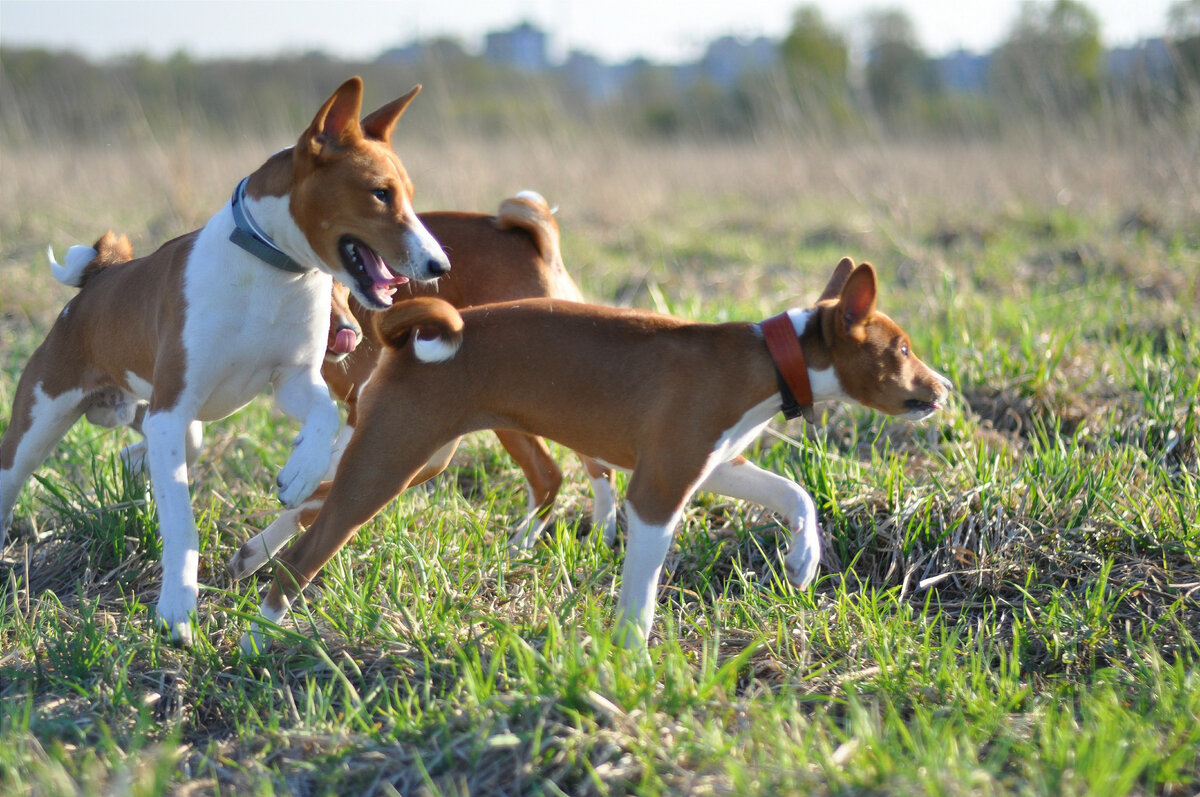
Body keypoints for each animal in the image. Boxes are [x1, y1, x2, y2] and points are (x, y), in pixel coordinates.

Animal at [0, 74, 451, 643]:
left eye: (407, 196)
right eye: (380, 193)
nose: (439, 264)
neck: (274, 273)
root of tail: (97, 280)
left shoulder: (291, 381)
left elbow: (325, 415)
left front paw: (299, 473)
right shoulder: (172, 410)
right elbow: (181, 524)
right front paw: (177, 607)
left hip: (165, 420)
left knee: (150, 450)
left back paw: (138, 464)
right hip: (44, 425)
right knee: (14, 477)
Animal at [238, 258, 950, 652]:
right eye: (901, 349)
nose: (943, 388)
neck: (766, 361)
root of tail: (403, 337)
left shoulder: (710, 466)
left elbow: (795, 494)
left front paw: (802, 561)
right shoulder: (657, 492)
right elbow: (642, 595)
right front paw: (633, 665)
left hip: (415, 457)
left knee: (314, 498)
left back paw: (253, 551)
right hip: (391, 463)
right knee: (305, 555)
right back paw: (256, 642)